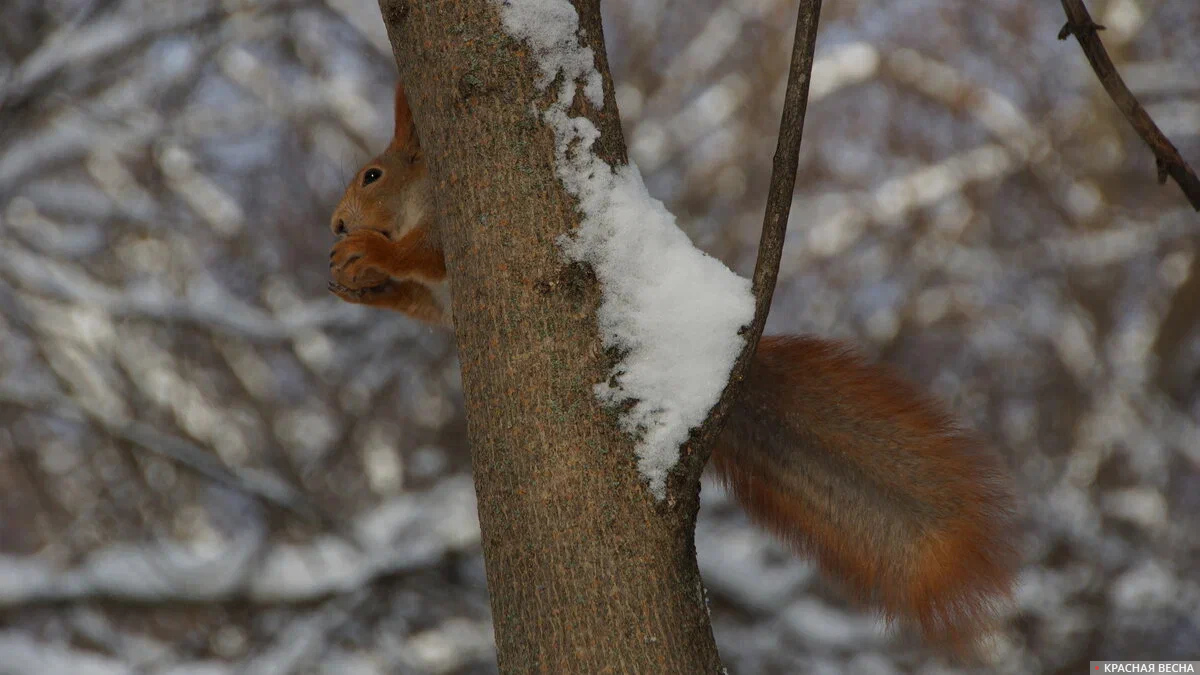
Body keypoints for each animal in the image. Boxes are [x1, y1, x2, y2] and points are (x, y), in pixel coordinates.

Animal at [331, 81, 1022, 648]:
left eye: (371, 174)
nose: (336, 224)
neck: (417, 204)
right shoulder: (436, 302)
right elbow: (416, 298)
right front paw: (354, 281)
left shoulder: (446, 242)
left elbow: (422, 258)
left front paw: (369, 254)